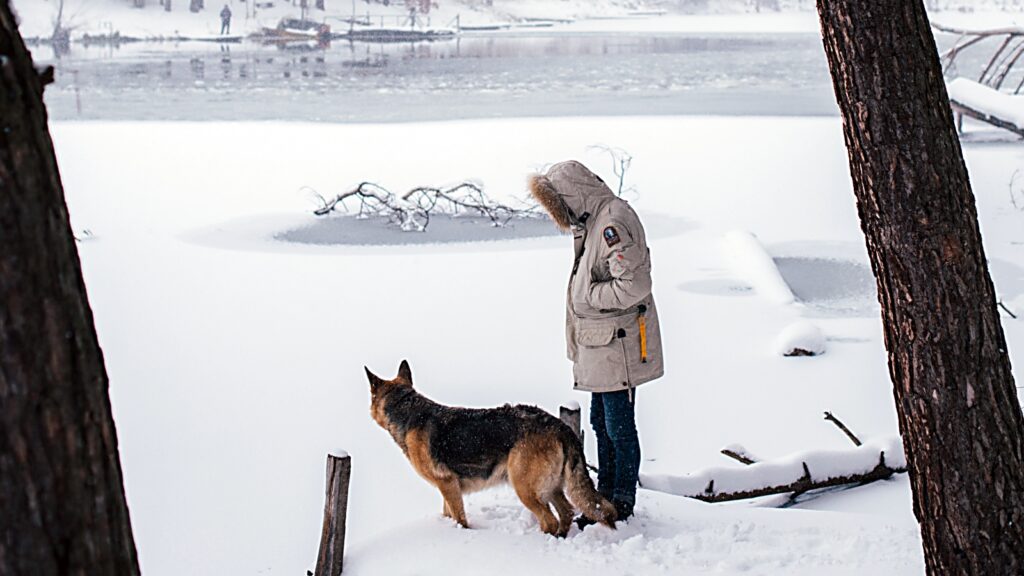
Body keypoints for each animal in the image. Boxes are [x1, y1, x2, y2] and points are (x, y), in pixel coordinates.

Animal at [368, 358, 614, 532]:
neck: (407, 408)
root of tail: (559, 425)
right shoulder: (448, 487)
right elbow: (448, 514)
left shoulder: (447, 484)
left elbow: (460, 519)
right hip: (551, 487)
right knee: (566, 513)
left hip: (525, 487)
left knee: (550, 520)